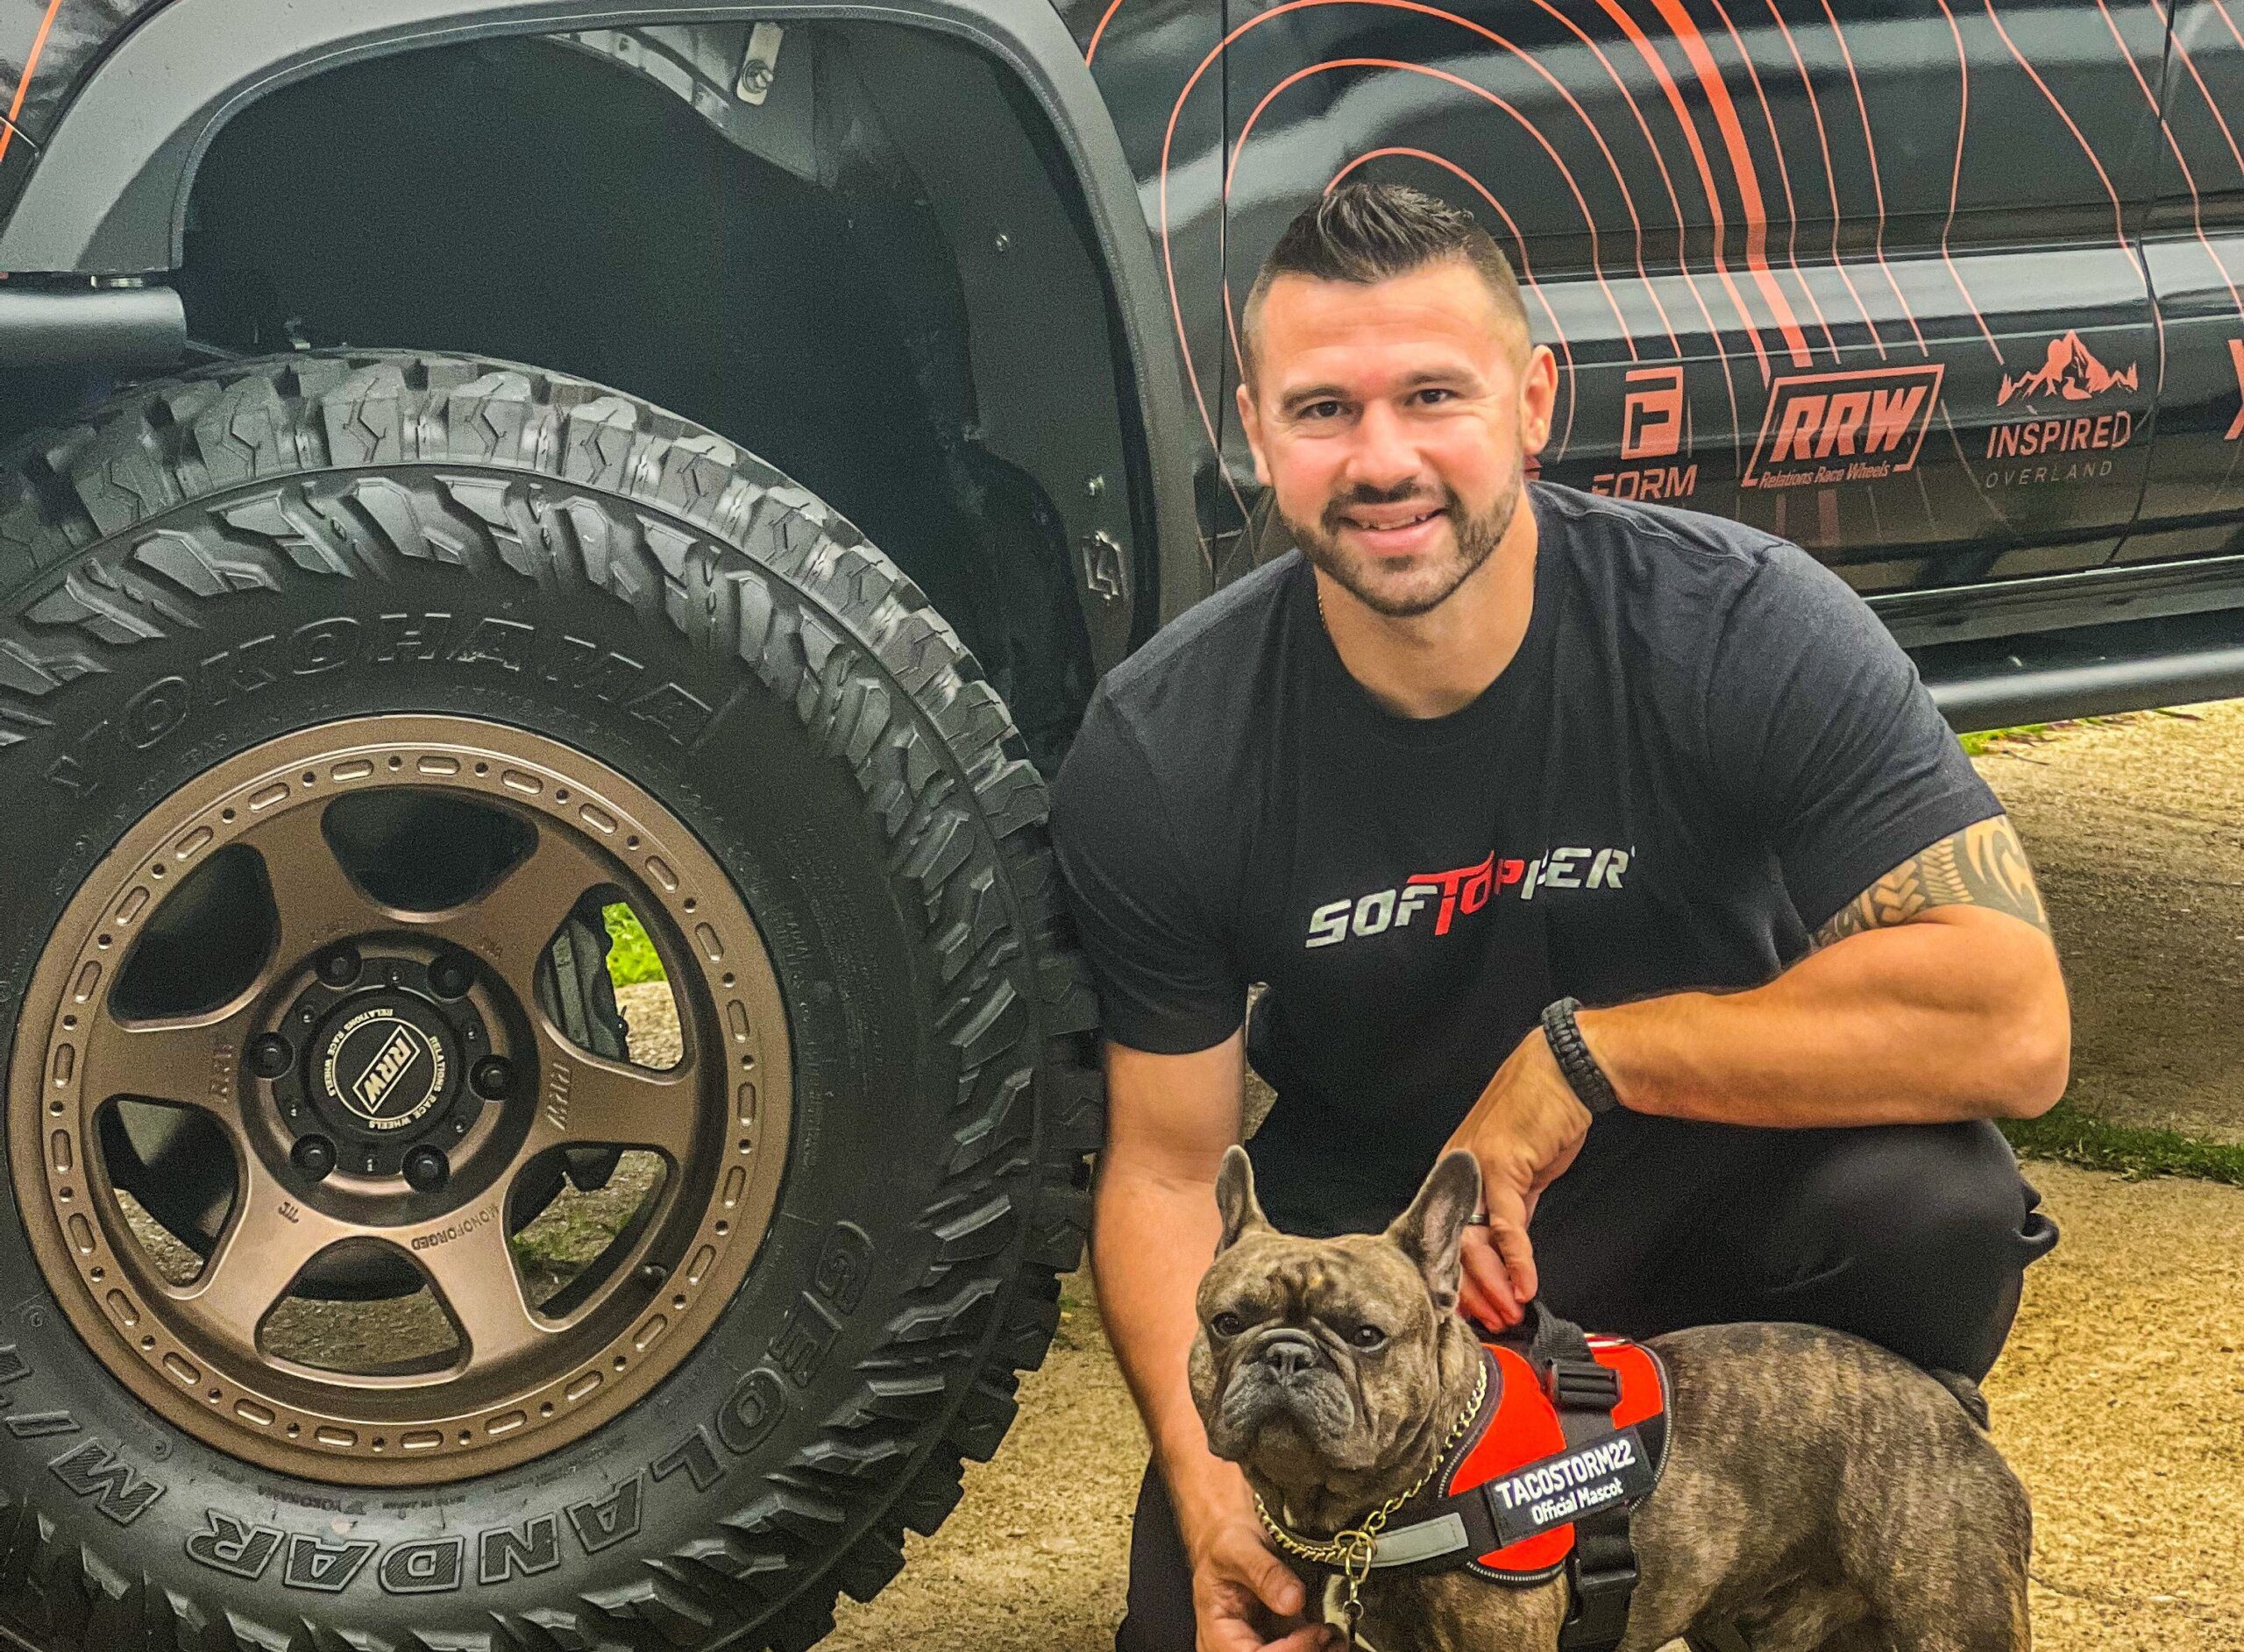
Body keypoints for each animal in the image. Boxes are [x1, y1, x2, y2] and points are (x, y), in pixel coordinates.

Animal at [1189, 1146, 2032, 1652]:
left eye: (1366, 1335)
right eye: (1225, 1321)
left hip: (1953, 1617)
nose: (1286, 1353)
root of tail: (1948, 1398)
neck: (1363, 1518)